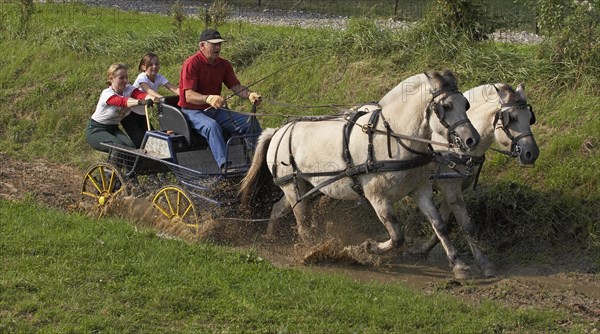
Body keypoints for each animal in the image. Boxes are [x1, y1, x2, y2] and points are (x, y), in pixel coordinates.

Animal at [241, 69, 480, 278]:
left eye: (466, 104)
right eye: (446, 106)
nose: (472, 140)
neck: (393, 138)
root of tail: (277, 131)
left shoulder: (420, 190)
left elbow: (439, 226)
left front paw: (459, 265)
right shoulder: (378, 198)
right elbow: (397, 237)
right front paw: (365, 248)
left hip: (302, 188)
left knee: (278, 209)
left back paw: (271, 239)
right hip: (292, 185)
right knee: (302, 224)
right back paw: (311, 251)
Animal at [418, 83, 540, 276]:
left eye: (530, 118)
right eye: (512, 118)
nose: (532, 153)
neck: (455, 147)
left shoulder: (453, 189)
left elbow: (442, 221)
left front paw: (424, 249)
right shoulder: (451, 188)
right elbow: (466, 226)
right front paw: (483, 263)